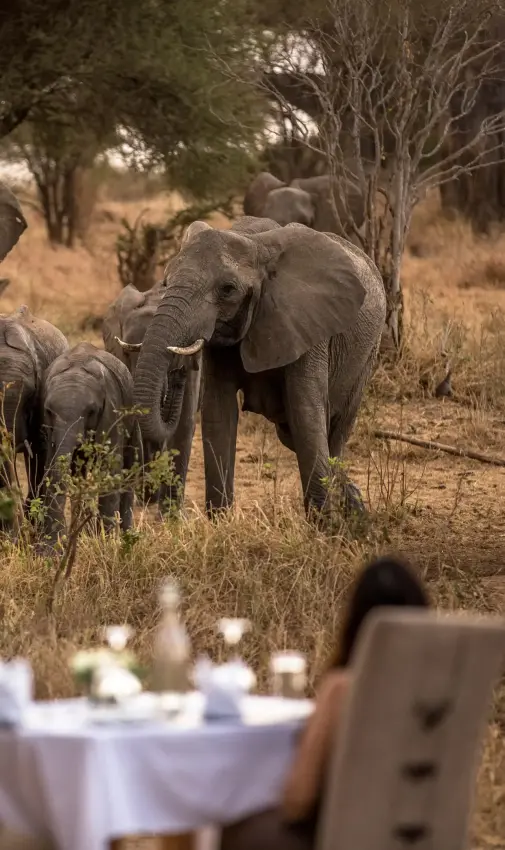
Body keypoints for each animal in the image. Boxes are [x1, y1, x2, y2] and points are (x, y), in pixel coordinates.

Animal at [42, 342, 138, 543]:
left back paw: (126, 536)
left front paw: (106, 544)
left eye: (91, 411)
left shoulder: (112, 410)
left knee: (129, 464)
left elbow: (110, 468)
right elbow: (51, 466)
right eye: (49, 411)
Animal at [102, 282, 201, 510]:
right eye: (128, 353)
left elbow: (184, 423)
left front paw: (171, 509)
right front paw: (147, 496)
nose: (178, 376)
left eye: (174, 355)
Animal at [133, 216, 386, 520]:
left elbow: (306, 413)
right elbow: (218, 412)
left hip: (367, 355)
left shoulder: (308, 325)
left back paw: (353, 515)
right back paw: (356, 508)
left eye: (228, 289)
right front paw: (220, 522)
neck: (254, 244)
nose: (180, 368)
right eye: (166, 281)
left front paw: (323, 526)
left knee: (334, 432)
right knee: (292, 434)